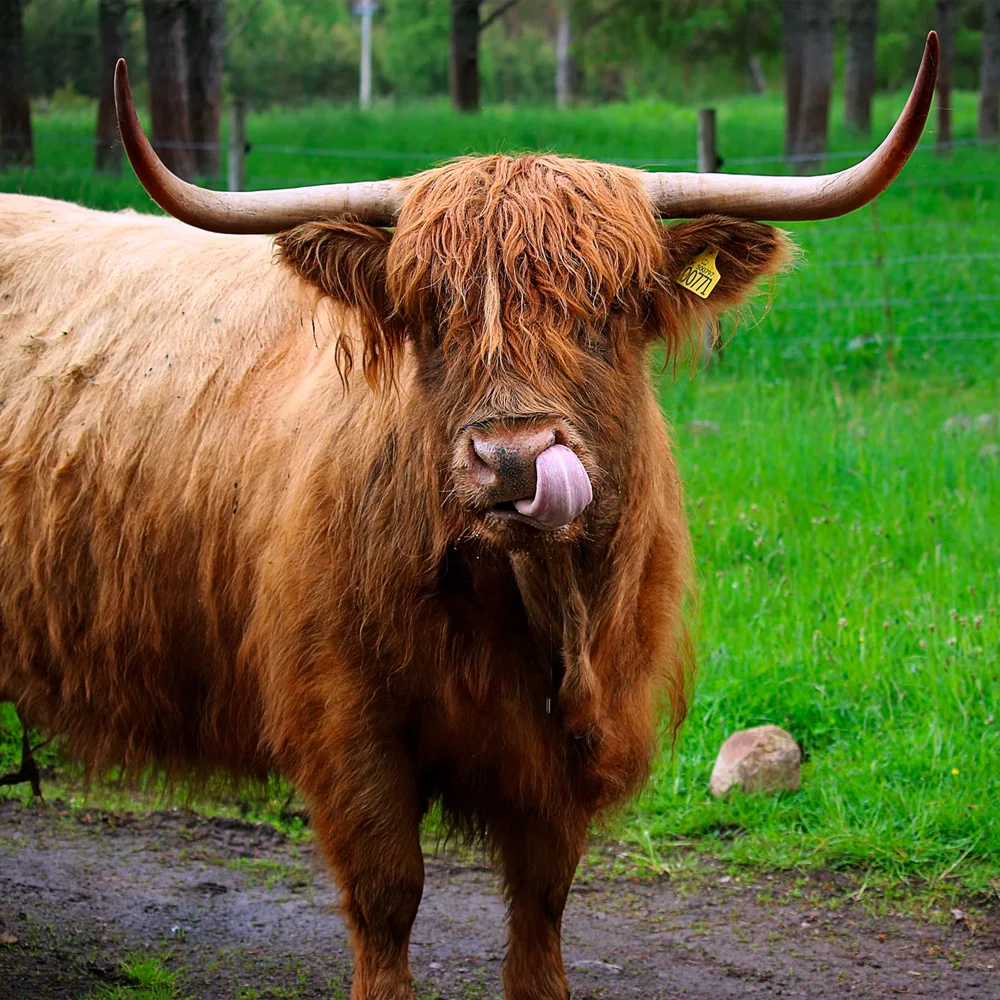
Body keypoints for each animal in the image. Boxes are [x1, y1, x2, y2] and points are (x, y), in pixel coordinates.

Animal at [0, 39, 936, 1000]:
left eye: (609, 308)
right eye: (431, 315)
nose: (514, 457)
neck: (536, 604)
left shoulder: (572, 744)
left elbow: (543, 905)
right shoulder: (347, 721)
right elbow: (387, 895)